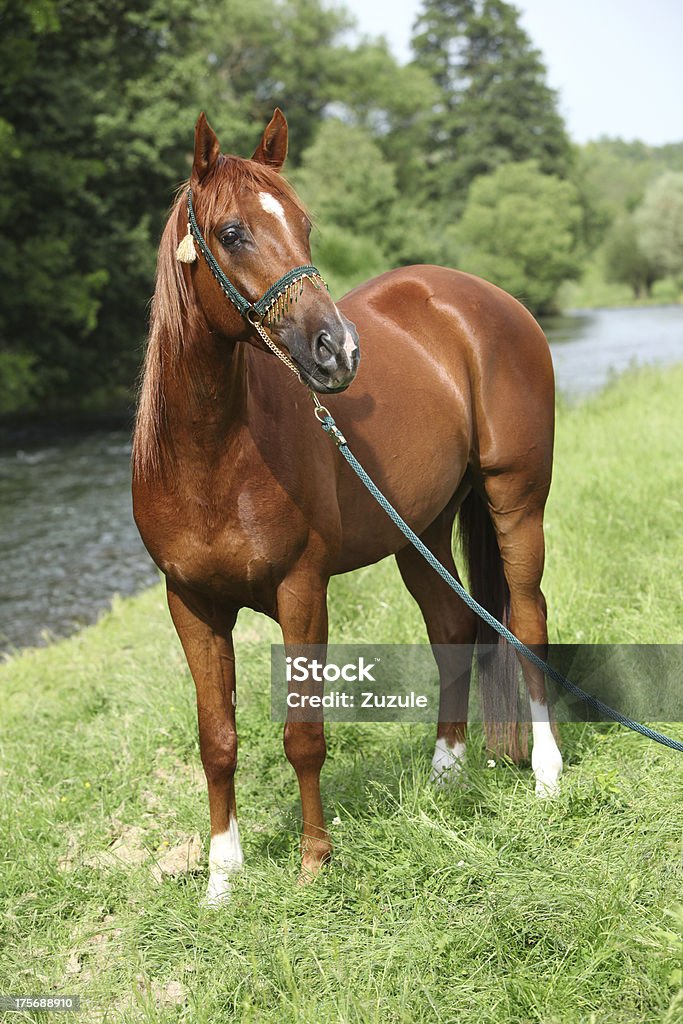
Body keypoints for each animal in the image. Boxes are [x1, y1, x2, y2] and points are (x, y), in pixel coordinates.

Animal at [132, 105, 561, 905]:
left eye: (305, 223)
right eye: (231, 232)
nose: (337, 351)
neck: (213, 458)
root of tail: (487, 297)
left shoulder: (302, 590)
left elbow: (304, 733)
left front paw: (314, 862)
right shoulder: (192, 604)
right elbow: (217, 739)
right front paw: (222, 879)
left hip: (515, 500)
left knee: (524, 620)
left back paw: (548, 772)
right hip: (419, 531)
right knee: (453, 627)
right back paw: (446, 773)